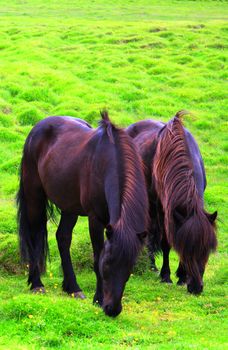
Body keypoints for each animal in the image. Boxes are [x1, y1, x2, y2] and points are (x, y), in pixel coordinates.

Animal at [16, 113, 149, 318]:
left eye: (129, 268)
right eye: (107, 265)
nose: (113, 310)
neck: (109, 163)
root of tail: (38, 127)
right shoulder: (96, 220)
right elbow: (96, 257)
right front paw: (98, 299)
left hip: (70, 206)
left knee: (63, 238)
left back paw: (73, 288)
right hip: (34, 196)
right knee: (34, 237)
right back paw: (37, 284)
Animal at [126, 113, 217, 296]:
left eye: (207, 250)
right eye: (187, 250)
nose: (196, 288)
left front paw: (181, 277)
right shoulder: (163, 209)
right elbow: (166, 242)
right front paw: (166, 276)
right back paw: (152, 266)